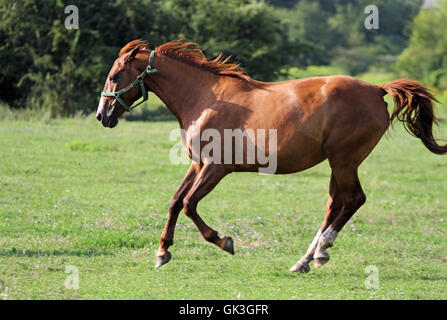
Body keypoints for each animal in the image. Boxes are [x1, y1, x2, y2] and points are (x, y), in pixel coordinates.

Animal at [96, 40, 446, 274]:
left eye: (114, 76)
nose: (102, 115)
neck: (205, 98)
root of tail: (377, 89)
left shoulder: (216, 168)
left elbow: (189, 205)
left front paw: (224, 241)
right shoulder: (197, 164)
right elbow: (174, 201)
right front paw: (162, 252)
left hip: (345, 161)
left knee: (353, 200)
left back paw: (321, 253)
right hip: (338, 164)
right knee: (335, 205)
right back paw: (305, 260)